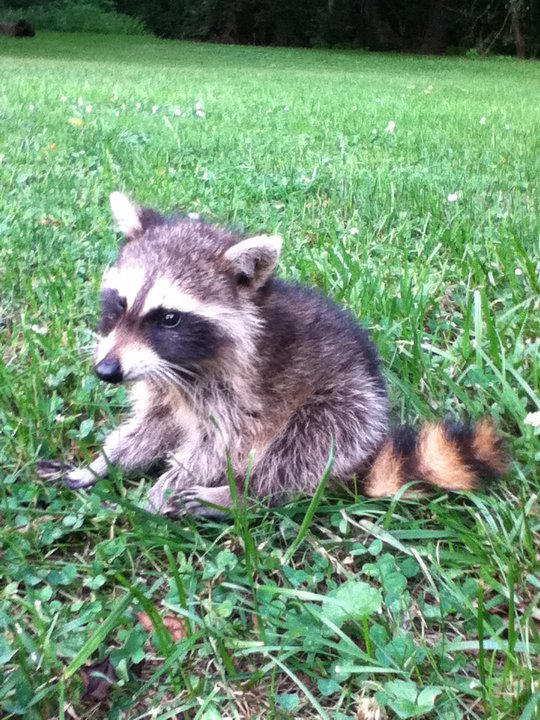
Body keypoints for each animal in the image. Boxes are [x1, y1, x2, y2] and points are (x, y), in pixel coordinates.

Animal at [37, 192, 508, 517]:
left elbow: (215, 448)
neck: (182, 365)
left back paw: (242, 496)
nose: (105, 371)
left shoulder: (240, 395)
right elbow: (146, 429)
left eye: (168, 318)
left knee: (302, 451)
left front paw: (156, 493)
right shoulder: (161, 386)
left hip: (348, 404)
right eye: (119, 303)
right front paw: (101, 464)